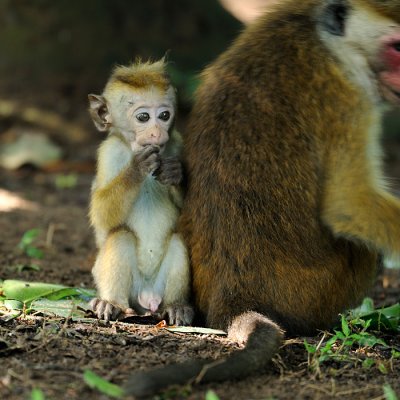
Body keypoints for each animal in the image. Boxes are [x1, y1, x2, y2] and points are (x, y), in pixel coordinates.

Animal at [88, 60, 194, 328]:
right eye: (143, 117)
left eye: (165, 115)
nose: (157, 133)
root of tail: (148, 297)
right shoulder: (110, 152)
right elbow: (102, 215)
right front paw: (136, 169)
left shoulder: (177, 143)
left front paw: (174, 173)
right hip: (129, 290)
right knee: (120, 235)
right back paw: (111, 303)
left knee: (178, 239)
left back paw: (176, 306)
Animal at [126, 0, 400, 396]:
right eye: (397, 48)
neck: (319, 33)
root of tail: (233, 298)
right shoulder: (347, 94)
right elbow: (349, 204)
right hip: (318, 292)